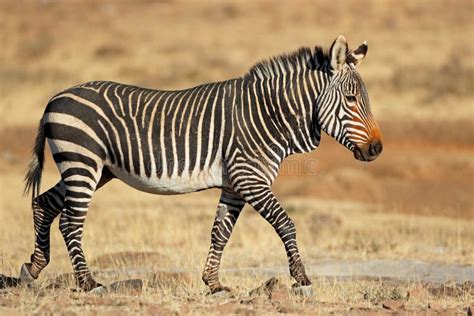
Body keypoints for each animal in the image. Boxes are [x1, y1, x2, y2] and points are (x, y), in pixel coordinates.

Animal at [20, 35, 382, 296]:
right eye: (351, 99)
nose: (377, 149)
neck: (269, 115)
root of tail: (54, 98)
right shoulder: (250, 178)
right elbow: (286, 224)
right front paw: (302, 278)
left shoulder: (235, 184)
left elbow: (220, 232)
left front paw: (214, 283)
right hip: (83, 162)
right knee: (70, 222)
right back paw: (87, 283)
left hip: (93, 168)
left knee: (44, 203)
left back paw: (33, 268)